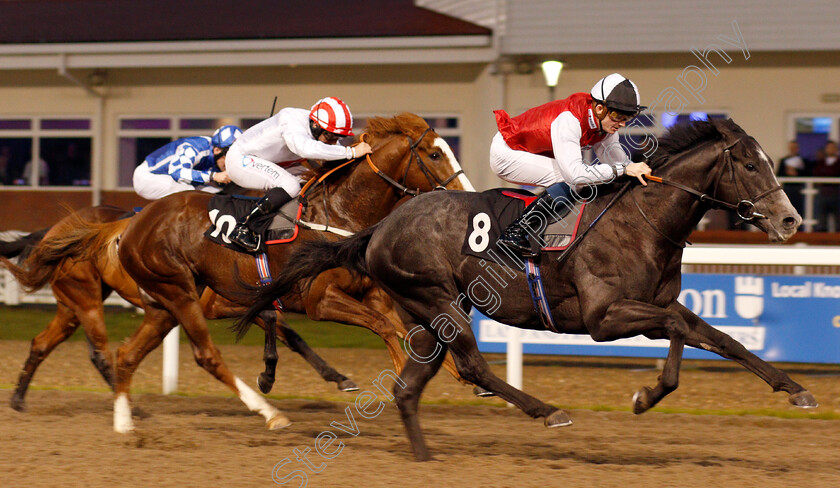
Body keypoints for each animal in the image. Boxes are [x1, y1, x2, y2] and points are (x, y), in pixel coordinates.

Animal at [0, 204, 358, 410]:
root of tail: (55, 229)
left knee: (43, 343)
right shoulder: (227, 302)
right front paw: (267, 375)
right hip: (85, 298)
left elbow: (291, 334)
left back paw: (18, 398)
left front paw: (337, 376)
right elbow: (273, 319)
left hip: (72, 303)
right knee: (99, 352)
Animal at [241, 119, 812, 462]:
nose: (790, 220)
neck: (641, 221)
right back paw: (547, 411)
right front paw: (646, 395)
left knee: (409, 385)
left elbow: (715, 337)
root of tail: (380, 227)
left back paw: (424, 457)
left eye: (767, 160)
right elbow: (679, 330)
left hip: (430, 312)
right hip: (437, 300)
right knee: (472, 367)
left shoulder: (655, 302)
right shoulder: (604, 317)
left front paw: (794, 389)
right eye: (749, 164)